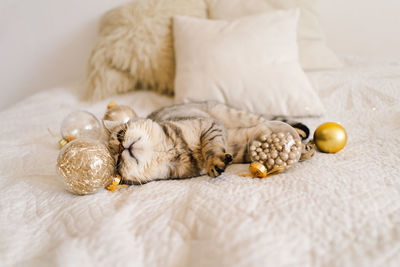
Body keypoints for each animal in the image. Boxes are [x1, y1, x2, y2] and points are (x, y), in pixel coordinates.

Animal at [102, 101, 312, 185]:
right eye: (117, 162)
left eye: (120, 135)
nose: (122, 148)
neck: (168, 150)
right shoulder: (238, 146)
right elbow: (251, 146)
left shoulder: (210, 125)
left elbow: (212, 146)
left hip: (236, 114)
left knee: (268, 120)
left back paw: (301, 135)